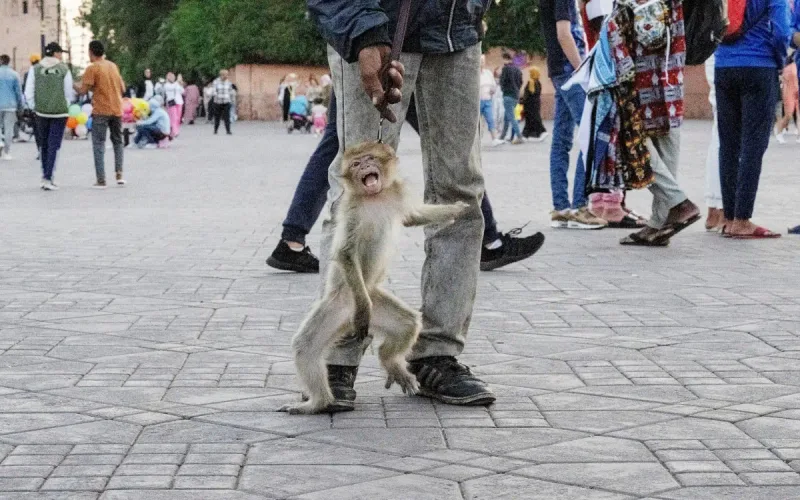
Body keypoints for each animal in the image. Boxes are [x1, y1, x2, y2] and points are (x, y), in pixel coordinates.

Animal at [278, 141, 469, 415]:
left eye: (369, 159)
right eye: (356, 164)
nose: (365, 167)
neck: (375, 196)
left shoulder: (396, 193)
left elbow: (413, 216)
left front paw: (456, 209)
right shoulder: (352, 210)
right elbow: (345, 253)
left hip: (374, 302)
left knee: (409, 323)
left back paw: (390, 361)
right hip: (343, 301)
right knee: (306, 347)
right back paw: (317, 403)